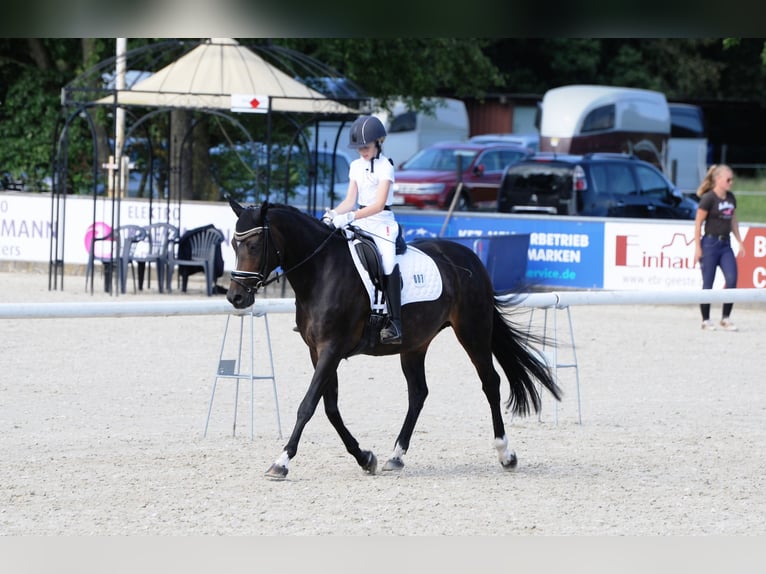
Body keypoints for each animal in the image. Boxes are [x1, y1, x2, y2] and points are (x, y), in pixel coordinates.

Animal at [226, 199, 561, 479]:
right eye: (233, 243)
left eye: (254, 245)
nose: (236, 297)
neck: (321, 271)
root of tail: (470, 257)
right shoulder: (317, 350)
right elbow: (330, 408)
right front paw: (364, 457)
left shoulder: (331, 348)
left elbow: (307, 405)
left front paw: (281, 462)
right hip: (415, 344)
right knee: (419, 393)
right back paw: (396, 456)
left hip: (472, 330)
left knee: (490, 382)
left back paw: (506, 454)